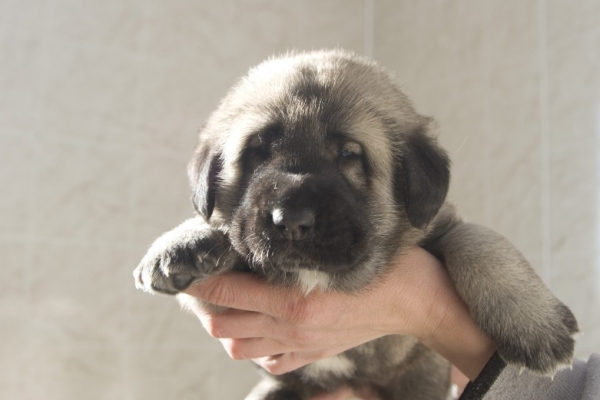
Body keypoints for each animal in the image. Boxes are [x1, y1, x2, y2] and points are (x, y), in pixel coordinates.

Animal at [135, 50, 576, 400]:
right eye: (257, 150)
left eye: (349, 154)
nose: (291, 219)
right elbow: (224, 233)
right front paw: (184, 240)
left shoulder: (442, 224)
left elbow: (478, 239)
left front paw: (532, 322)